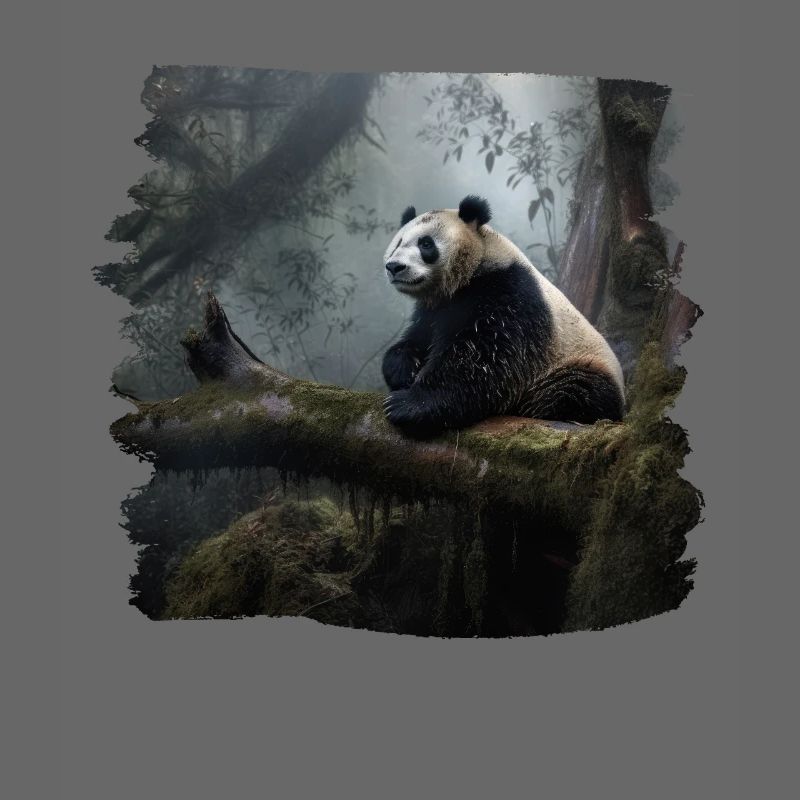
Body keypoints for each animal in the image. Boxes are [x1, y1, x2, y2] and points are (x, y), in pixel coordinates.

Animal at [381, 195, 625, 436]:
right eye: (398, 243)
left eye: (426, 244)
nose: (394, 266)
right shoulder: (435, 308)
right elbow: (419, 336)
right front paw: (403, 369)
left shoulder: (508, 291)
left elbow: (483, 359)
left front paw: (407, 404)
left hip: (575, 364)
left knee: (574, 392)